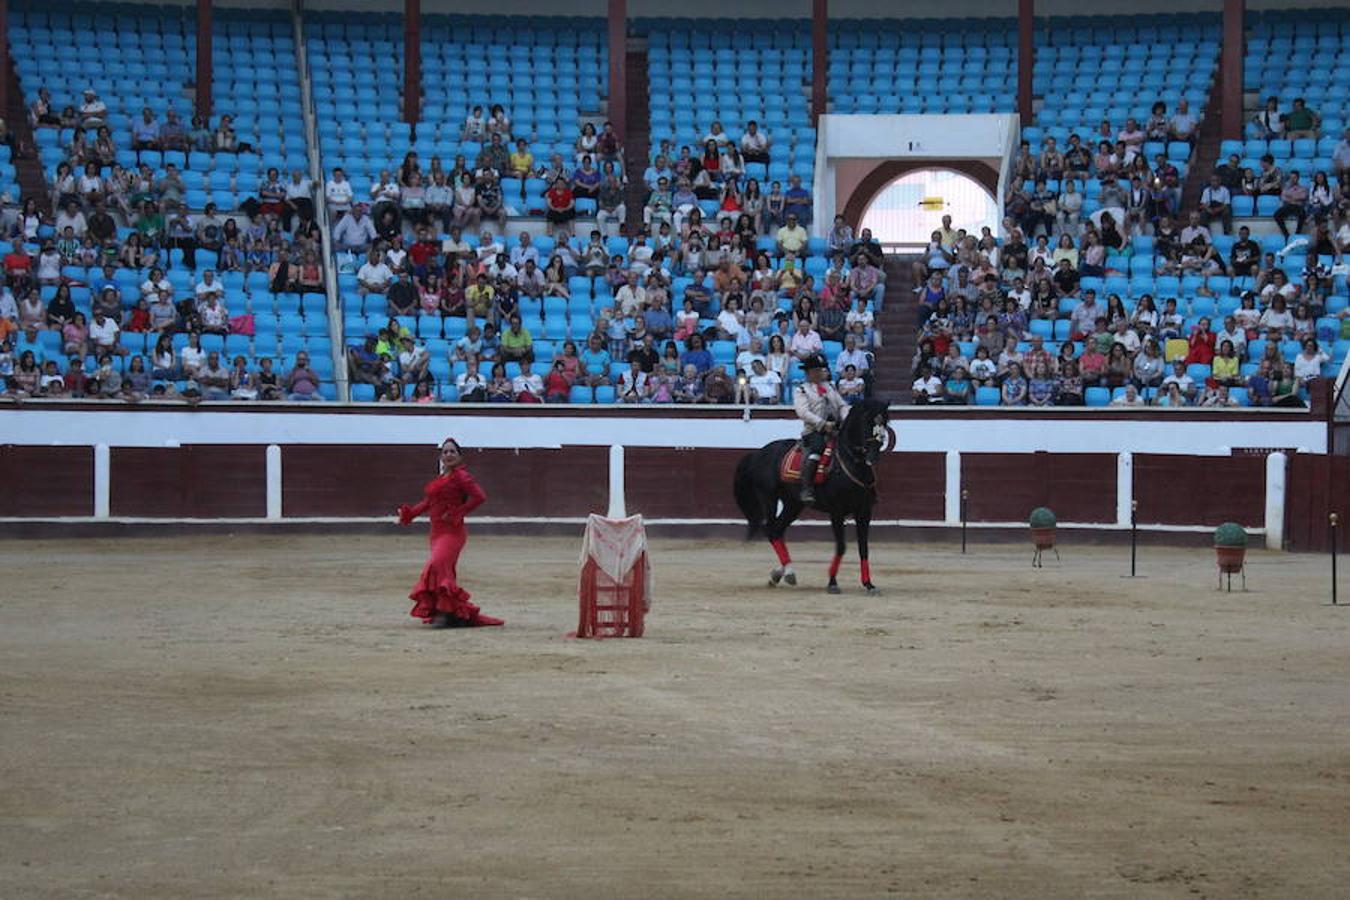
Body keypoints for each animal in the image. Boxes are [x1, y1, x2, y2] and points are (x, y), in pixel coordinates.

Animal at [733, 397, 890, 594]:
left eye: (885, 423)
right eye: (866, 422)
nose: (873, 455)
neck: (850, 464)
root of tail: (758, 454)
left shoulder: (864, 512)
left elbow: (864, 548)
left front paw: (869, 584)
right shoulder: (836, 512)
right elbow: (841, 546)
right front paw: (832, 583)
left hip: (793, 504)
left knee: (777, 531)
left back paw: (781, 573)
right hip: (769, 498)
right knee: (770, 530)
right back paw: (788, 572)